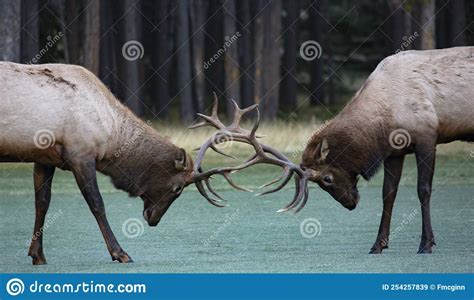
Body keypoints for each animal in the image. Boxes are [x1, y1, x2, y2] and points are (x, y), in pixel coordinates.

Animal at [0, 61, 302, 264]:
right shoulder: (80, 153)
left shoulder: (45, 156)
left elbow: (42, 203)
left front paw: (37, 255)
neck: (110, 134)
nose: (153, 219)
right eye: (178, 188)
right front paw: (121, 253)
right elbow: (97, 204)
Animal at [300, 47, 474, 253]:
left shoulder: (427, 138)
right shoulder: (394, 153)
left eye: (327, 178)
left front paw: (426, 243)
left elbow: (423, 190)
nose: (350, 204)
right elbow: (388, 193)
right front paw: (378, 244)